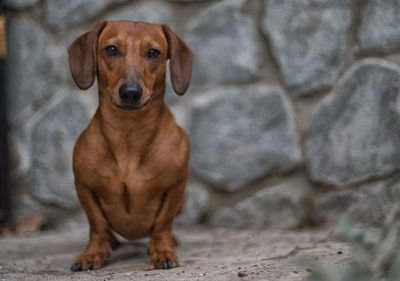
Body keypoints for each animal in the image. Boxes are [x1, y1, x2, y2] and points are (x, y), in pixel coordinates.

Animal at [66, 20, 193, 270]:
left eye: (153, 53)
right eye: (111, 49)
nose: (131, 93)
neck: (129, 135)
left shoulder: (176, 187)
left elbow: (163, 222)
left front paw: (162, 250)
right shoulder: (84, 186)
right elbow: (97, 224)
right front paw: (93, 253)